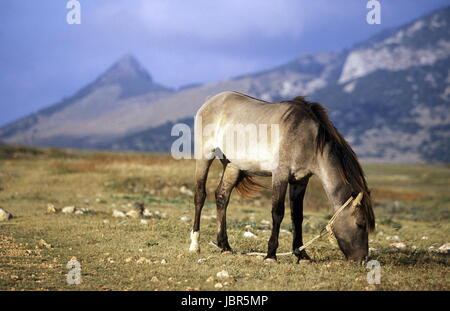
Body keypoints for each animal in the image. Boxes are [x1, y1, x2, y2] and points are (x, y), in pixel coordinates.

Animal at [188, 91, 374, 264]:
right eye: (361, 224)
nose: (362, 260)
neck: (307, 138)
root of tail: (212, 100)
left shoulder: (300, 180)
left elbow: (297, 216)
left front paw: (301, 255)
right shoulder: (280, 175)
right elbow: (277, 213)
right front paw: (271, 255)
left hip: (232, 165)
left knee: (222, 197)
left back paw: (224, 246)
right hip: (205, 156)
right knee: (200, 196)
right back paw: (195, 245)